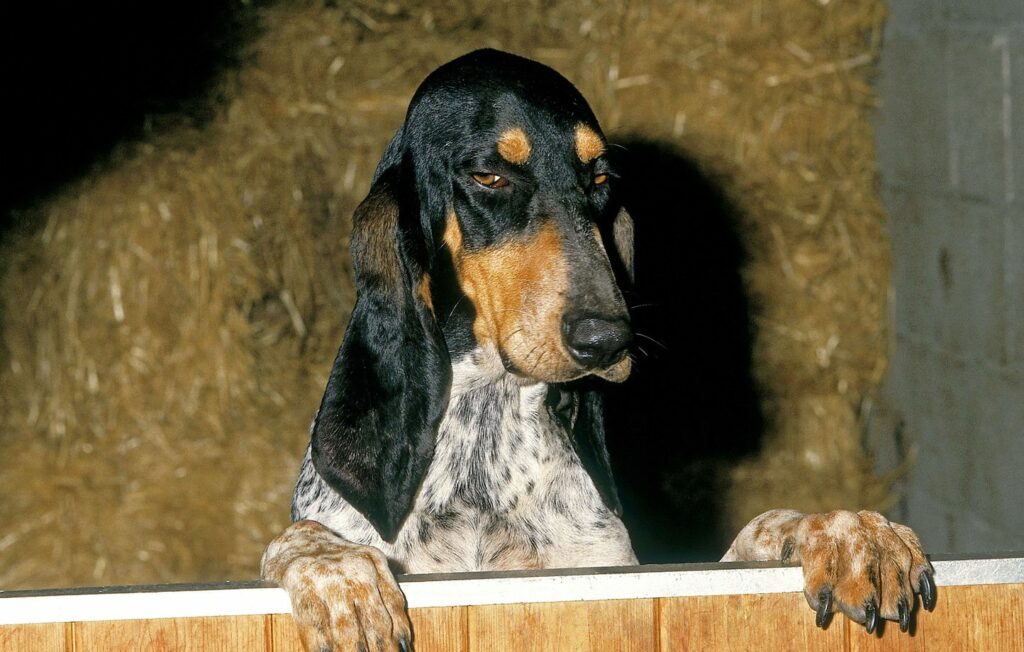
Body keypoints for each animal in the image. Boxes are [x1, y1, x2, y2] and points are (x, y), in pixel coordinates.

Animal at [258, 50, 937, 650]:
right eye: (489, 176)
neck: (486, 428)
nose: (609, 339)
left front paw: (852, 533)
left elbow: (767, 522)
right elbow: (299, 538)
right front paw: (340, 576)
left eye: (601, 178)